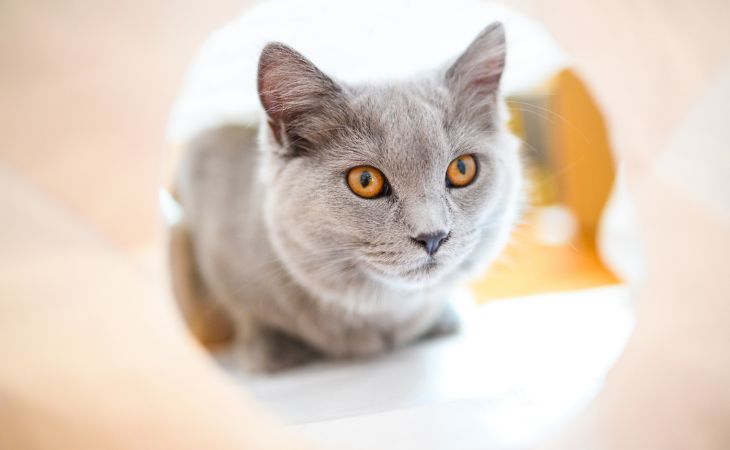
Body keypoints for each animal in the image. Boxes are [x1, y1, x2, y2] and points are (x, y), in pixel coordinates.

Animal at [171, 22, 524, 372]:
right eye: (365, 181)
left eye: (462, 169)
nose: (433, 236)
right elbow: (242, 305)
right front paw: (272, 348)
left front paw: (440, 318)